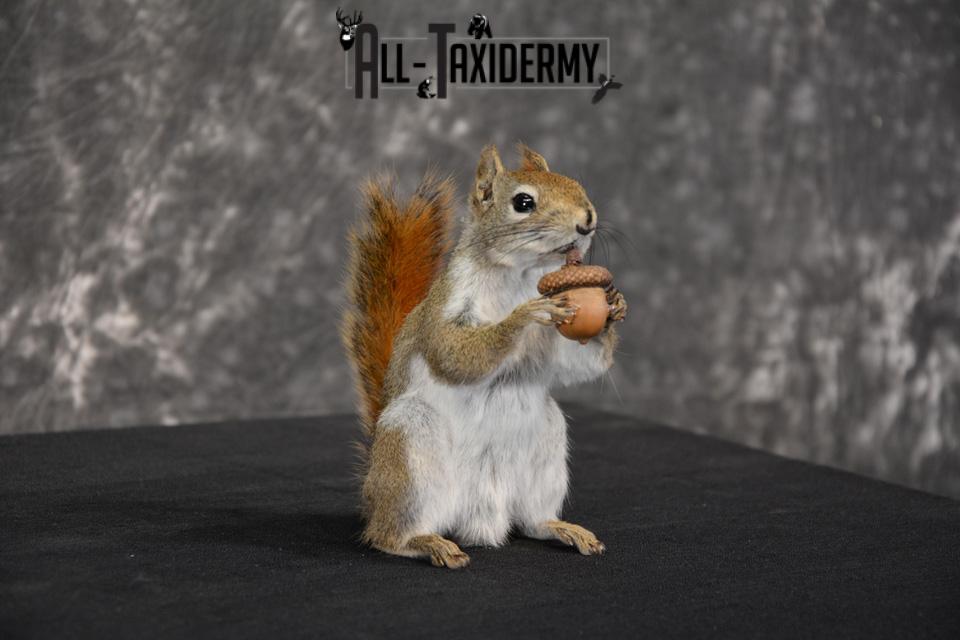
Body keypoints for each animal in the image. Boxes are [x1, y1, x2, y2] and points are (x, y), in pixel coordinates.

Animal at [341, 143, 627, 569]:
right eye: (523, 202)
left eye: (575, 184)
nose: (587, 221)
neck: (520, 274)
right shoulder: (449, 309)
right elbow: (455, 353)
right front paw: (523, 315)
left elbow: (574, 365)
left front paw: (613, 306)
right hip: (410, 447)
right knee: (388, 535)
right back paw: (426, 542)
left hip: (546, 448)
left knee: (532, 521)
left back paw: (562, 528)